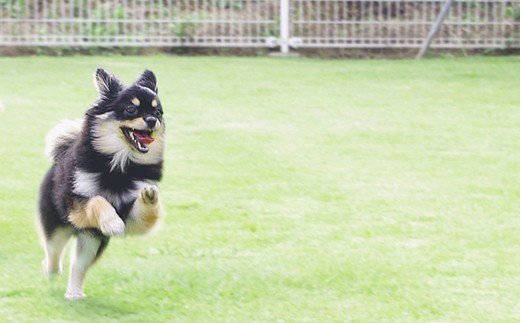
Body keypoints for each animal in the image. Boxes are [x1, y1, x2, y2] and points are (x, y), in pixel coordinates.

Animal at [37, 68, 166, 302]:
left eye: (158, 112)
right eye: (131, 109)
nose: (153, 120)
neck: (120, 166)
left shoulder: (131, 216)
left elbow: (146, 212)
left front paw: (149, 196)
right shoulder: (76, 202)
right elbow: (98, 200)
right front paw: (112, 222)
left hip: (91, 240)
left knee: (78, 266)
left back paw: (74, 293)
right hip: (58, 226)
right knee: (53, 252)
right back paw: (51, 270)